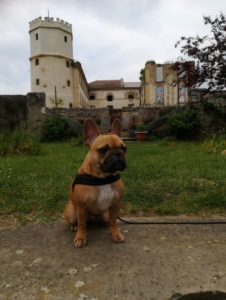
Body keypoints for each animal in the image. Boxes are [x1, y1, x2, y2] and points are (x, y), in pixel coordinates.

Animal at [63, 118, 127, 247]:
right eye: (103, 149)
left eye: (124, 148)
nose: (118, 153)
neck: (103, 177)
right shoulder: (81, 207)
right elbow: (82, 225)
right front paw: (81, 237)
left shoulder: (116, 204)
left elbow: (113, 221)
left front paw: (115, 233)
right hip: (72, 213)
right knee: (76, 222)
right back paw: (74, 227)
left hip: (105, 214)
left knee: (107, 220)